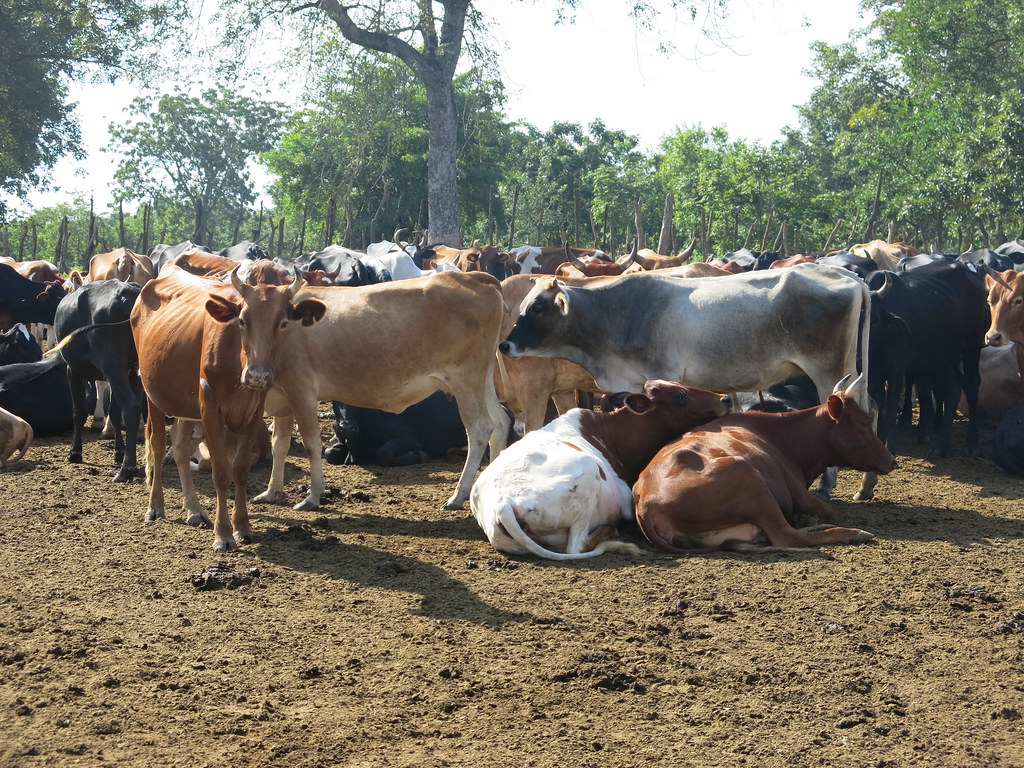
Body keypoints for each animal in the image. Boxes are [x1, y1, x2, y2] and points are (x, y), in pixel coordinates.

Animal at [52, 279, 145, 482]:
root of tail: (128, 295)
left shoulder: (72, 369)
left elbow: (78, 412)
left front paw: (75, 452)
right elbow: (114, 412)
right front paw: (119, 451)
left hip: (114, 368)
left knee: (131, 407)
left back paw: (127, 468)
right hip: (133, 371)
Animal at [132, 265, 326, 551]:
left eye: (283, 323)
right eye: (242, 320)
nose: (257, 375)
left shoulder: (253, 412)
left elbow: (240, 471)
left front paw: (242, 527)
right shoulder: (210, 410)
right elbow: (221, 474)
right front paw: (223, 533)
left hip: (185, 406)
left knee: (179, 449)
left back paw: (193, 509)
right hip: (153, 395)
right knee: (156, 445)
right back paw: (155, 507)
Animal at [254, 270, 510, 512]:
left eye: (281, 322)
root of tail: (470, 277)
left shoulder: (299, 390)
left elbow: (309, 444)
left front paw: (311, 497)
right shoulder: (281, 398)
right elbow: (279, 444)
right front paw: (270, 492)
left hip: (466, 380)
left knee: (480, 430)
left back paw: (457, 496)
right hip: (483, 379)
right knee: (500, 422)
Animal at [470, 380, 732, 560]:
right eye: (680, 395)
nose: (725, 399)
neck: (610, 435)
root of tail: (503, 503)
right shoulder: (626, 500)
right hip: (588, 477)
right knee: (576, 546)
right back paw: (612, 534)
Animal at [633, 375, 897, 554]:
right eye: (864, 423)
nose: (892, 461)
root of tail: (646, 502)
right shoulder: (798, 492)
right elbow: (828, 509)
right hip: (750, 479)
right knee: (786, 537)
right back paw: (852, 533)